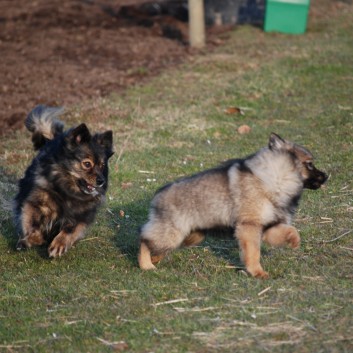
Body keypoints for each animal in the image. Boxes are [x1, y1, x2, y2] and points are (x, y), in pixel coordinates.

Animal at [13, 104, 113, 256]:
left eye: (102, 165)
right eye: (87, 164)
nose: (101, 181)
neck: (67, 191)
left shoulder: (81, 217)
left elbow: (69, 229)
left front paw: (58, 245)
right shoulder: (34, 204)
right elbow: (33, 226)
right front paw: (32, 239)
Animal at [138, 132, 328, 278]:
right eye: (310, 164)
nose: (326, 176)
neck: (275, 178)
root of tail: (157, 197)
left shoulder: (268, 227)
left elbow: (290, 231)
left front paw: (294, 241)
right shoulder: (249, 227)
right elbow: (253, 253)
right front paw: (257, 273)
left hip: (191, 236)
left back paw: (154, 260)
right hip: (172, 234)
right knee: (144, 240)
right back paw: (146, 265)